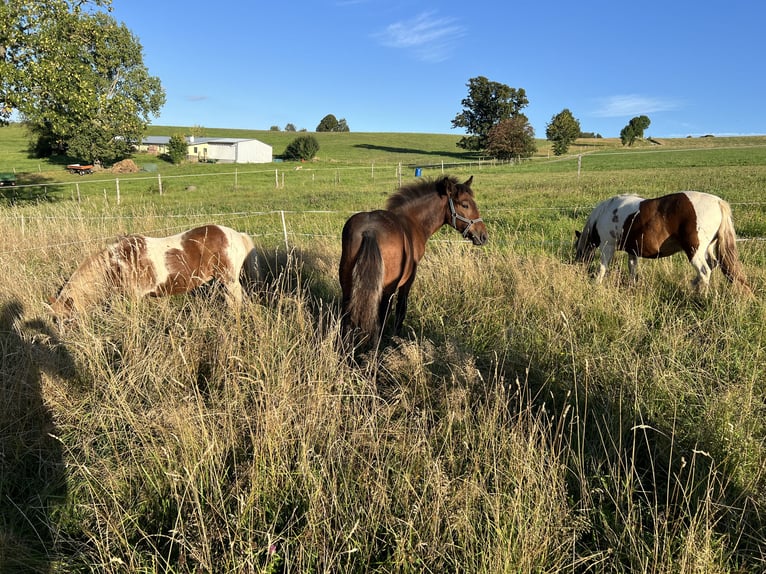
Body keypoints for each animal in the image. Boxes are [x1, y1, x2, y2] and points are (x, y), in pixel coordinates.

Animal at [339, 175, 488, 347]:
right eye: (465, 204)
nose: (483, 236)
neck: (413, 221)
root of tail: (369, 231)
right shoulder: (408, 280)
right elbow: (401, 310)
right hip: (386, 290)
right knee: (379, 321)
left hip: (348, 287)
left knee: (347, 319)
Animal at [574, 191, 749, 292]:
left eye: (577, 250)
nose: (578, 269)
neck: (604, 213)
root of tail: (718, 202)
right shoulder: (632, 250)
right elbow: (632, 268)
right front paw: (632, 286)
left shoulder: (607, 246)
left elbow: (602, 268)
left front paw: (596, 284)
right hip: (708, 248)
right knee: (711, 266)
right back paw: (694, 286)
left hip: (694, 250)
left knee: (705, 271)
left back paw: (702, 296)